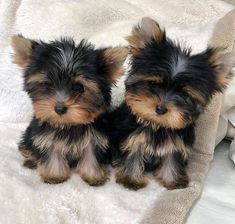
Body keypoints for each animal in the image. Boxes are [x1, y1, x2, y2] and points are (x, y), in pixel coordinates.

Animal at [11, 36, 127, 185]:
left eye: (78, 88)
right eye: (47, 84)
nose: (59, 109)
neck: (68, 125)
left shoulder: (94, 138)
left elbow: (91, 155)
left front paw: (93, 176)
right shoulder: (46, 137)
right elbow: (52, 154)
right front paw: (54, 175)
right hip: (29, 134)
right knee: (27, 147)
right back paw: (31, 160)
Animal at [111, 17, 234, 190]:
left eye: (184, 95)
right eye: (153, 84)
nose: (160, 109)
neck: (158, 125)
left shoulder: (177, 144)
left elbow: (172, 159)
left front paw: (173, 181)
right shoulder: (133, 137)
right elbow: (133, 156)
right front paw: (131, 180)